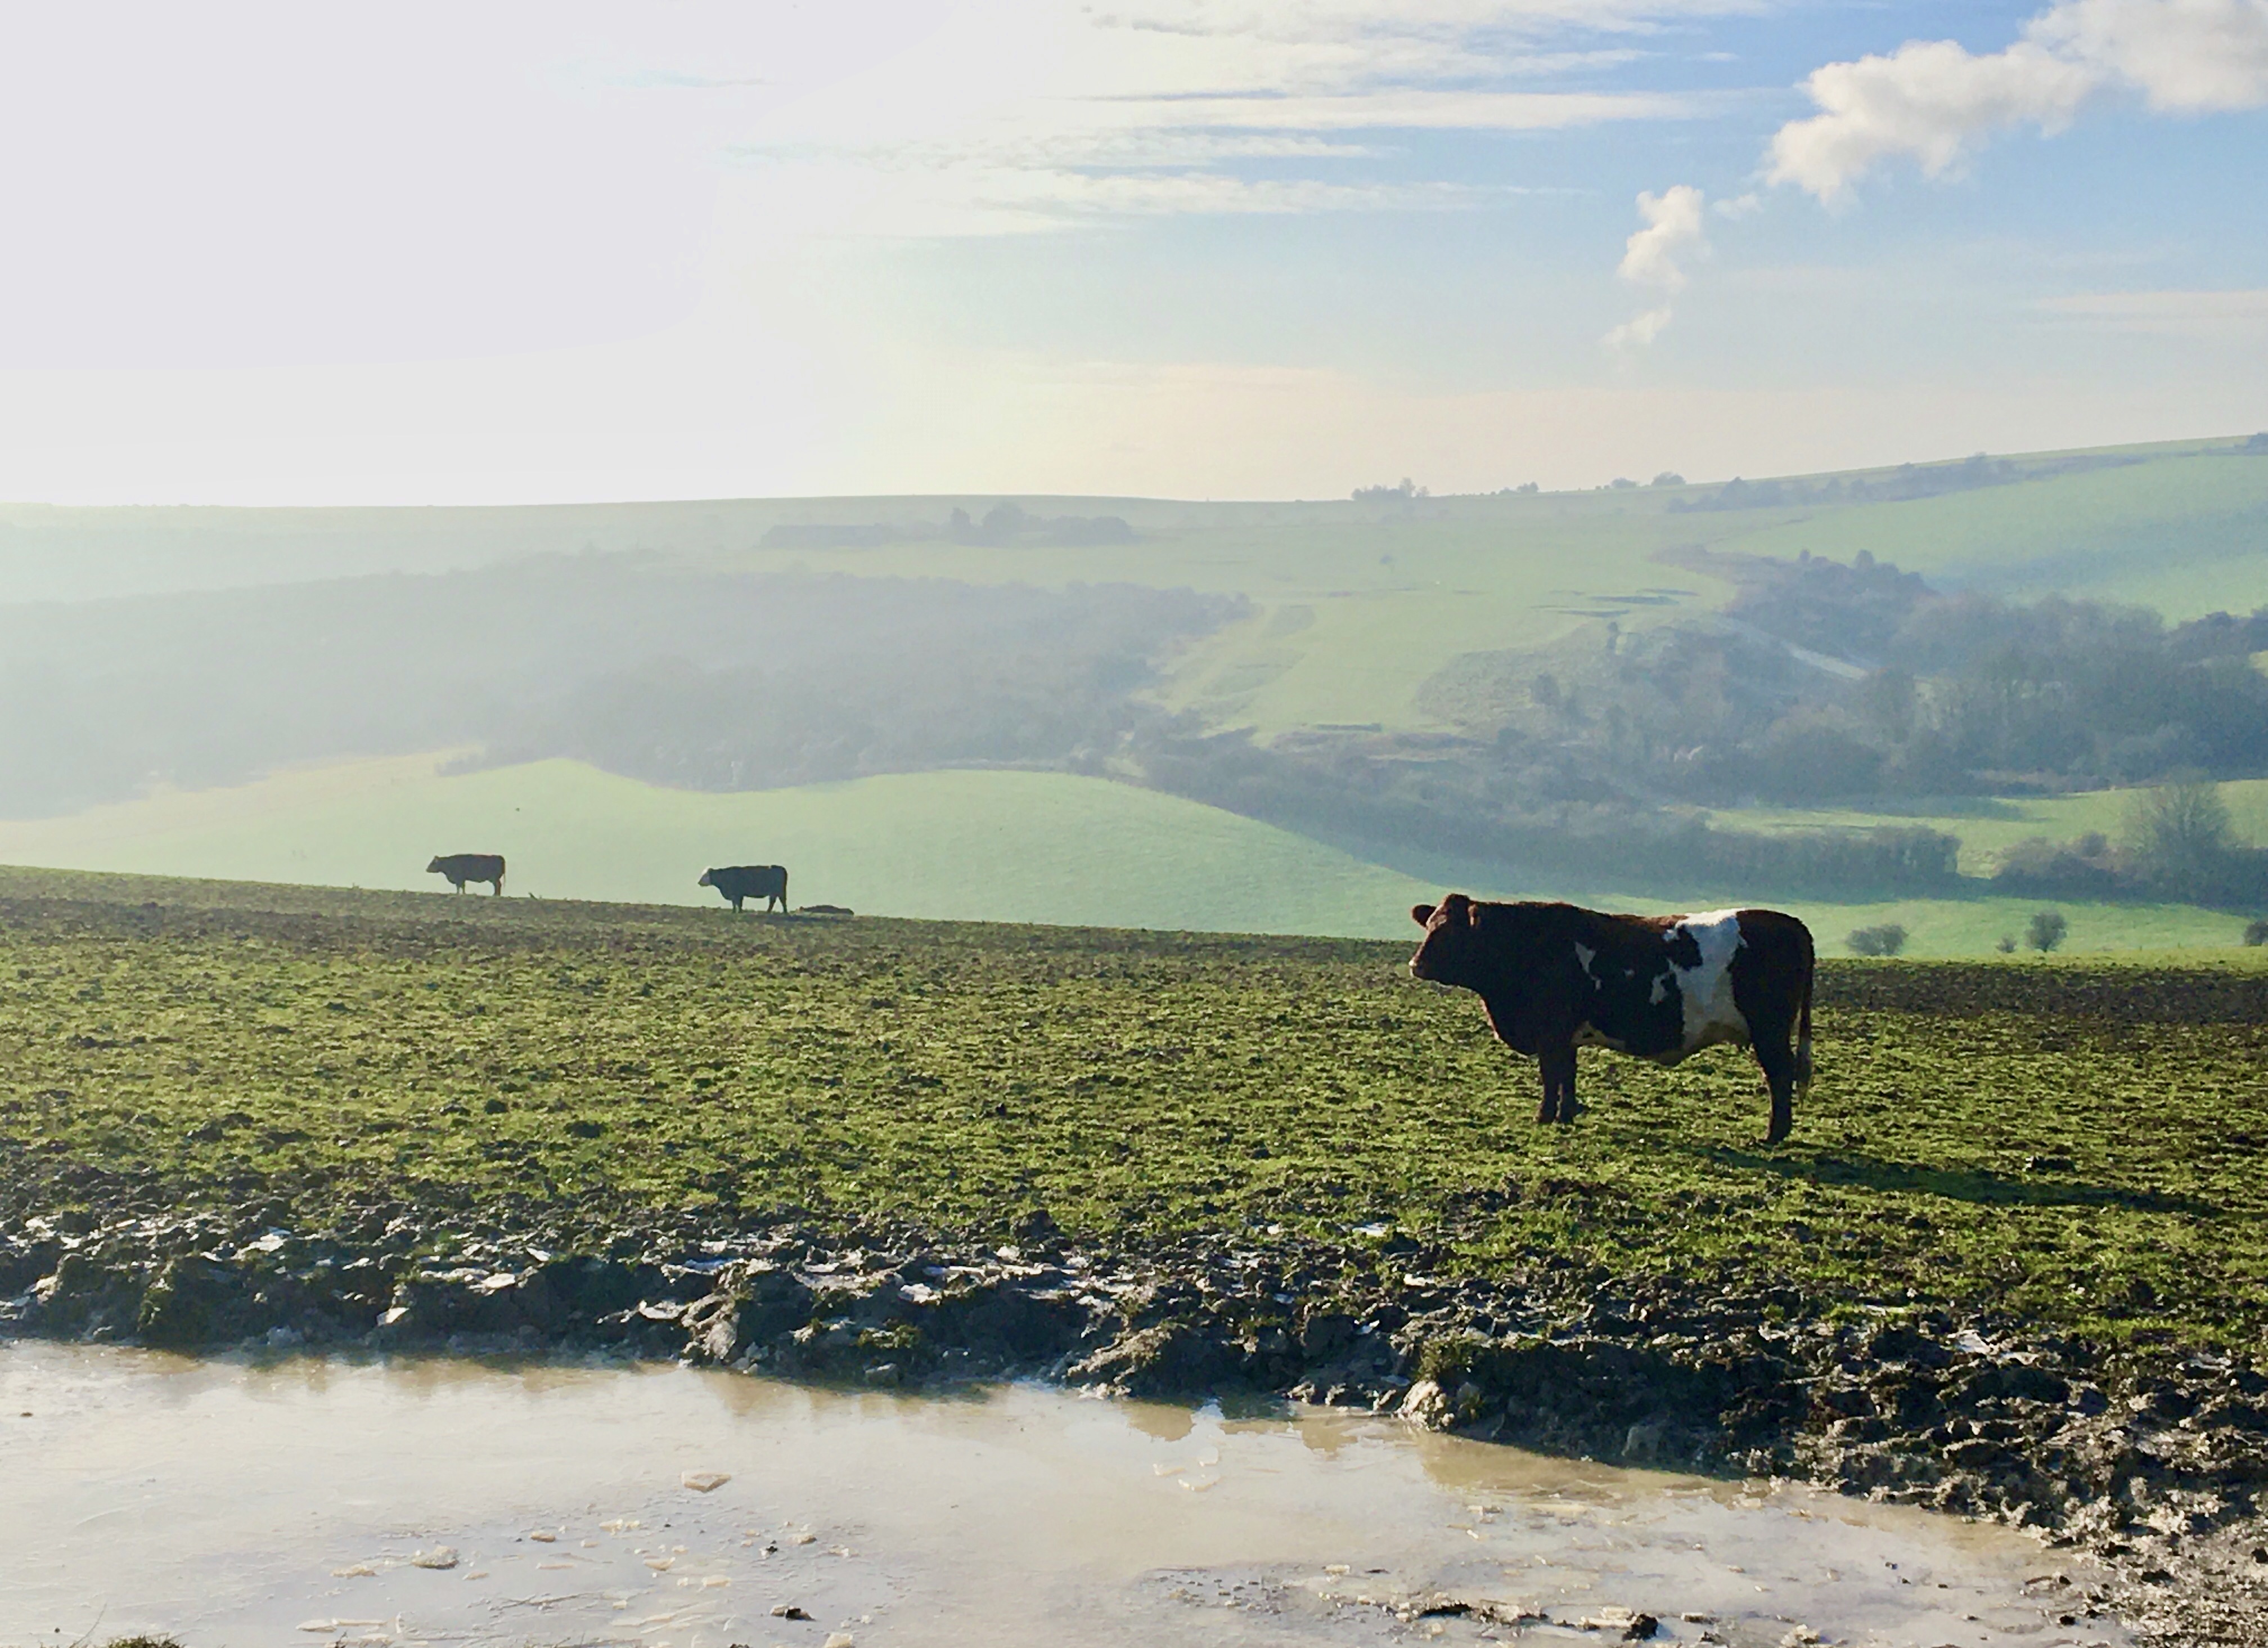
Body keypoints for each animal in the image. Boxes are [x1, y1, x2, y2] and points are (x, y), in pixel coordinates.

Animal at [427, 853, 506, 895]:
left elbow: (459, 886)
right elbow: (462, 887)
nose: (427, 869)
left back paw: (495, 895)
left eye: (433, 863)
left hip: (494, 878)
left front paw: (459, 894)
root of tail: (499, 856)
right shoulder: (462, 879)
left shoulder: (459, 879)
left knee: (497, 885)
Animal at [699, 864, 788, 913]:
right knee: (776, 901)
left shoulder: (736, 894)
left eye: (706, 875)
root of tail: (781, 868)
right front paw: (737, 912)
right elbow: (737, 904)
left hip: (778, 891)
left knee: (779, 901)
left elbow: (737, 903)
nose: (699, 882)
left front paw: (737, 912)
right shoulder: (738, 895)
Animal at [1408, 896, 1814, 1144]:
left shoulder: (1550, 1032)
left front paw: (1544, 1116)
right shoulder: (1565, 1036)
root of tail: (1790, 922)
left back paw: (1774, 1134)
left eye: (1450, 931)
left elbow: (1551, 1075)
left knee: (1780, 1075)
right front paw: (1566, 1115)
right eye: (1429, 925)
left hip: (1770, 1031)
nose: (1416, 964)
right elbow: (1567, 1075)